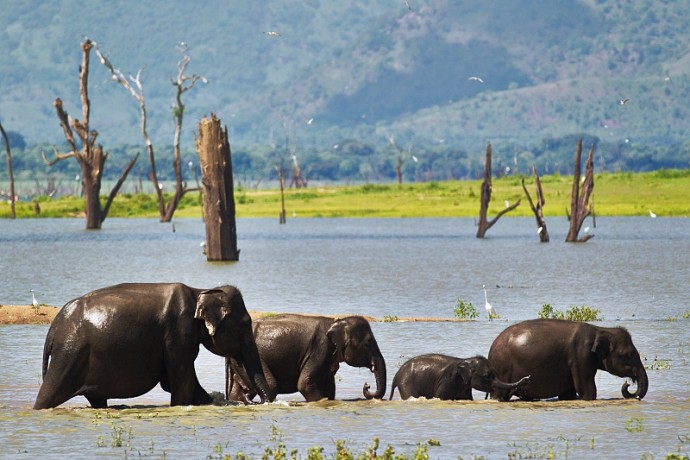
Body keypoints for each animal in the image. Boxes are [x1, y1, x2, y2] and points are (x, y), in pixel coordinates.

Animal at [34, 284, 272, 410]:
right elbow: (182, 382)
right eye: (244, 325)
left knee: (96, 398)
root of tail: (55, 326)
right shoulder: (178, 333)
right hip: (69, 354)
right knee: (48, 394)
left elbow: (179, 383)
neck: (200, 291)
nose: (256, 401)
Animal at [227, 312, 384, 402]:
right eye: (367, 344)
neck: (336, 322)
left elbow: (329, 387)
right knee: (271, 386)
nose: (367, 385)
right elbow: (305, 383)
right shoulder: (320, 349)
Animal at [388, 354, 528, 400]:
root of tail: (396, 375)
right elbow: (439, 397)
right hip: (406, 383)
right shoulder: (447, 381)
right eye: (487, 375)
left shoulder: (465, 386)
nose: (527, 378)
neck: (466, 360)